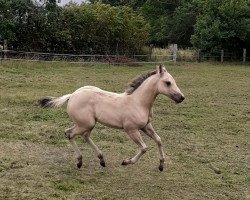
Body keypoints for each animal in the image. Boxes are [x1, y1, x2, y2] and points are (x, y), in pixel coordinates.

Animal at [38, 65, 184, 171]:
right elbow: (144, 148)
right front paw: (126, 162)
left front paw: (161, 165)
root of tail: (72, 95)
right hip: (85, 124)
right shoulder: (131, 129)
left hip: (88, 124)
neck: (139, 102)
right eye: (168, 83)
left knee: (84, 136)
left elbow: (158, 140)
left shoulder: (146, 126)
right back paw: (80, 161)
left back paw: (101, 160)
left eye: (174, 81)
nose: (181, 98)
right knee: (69, 133)